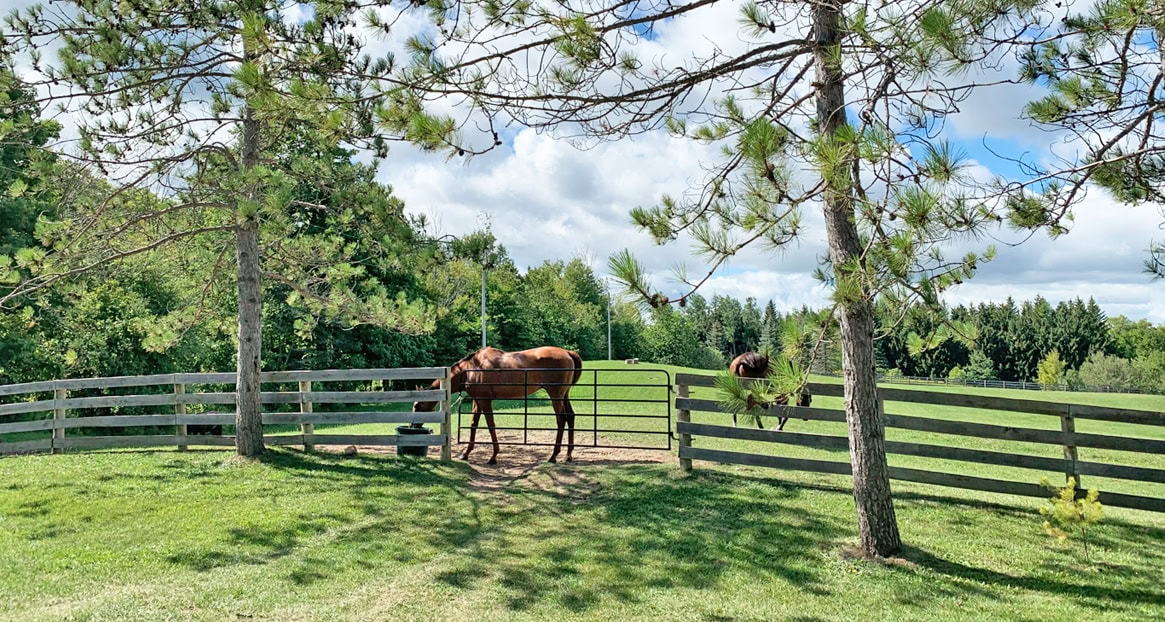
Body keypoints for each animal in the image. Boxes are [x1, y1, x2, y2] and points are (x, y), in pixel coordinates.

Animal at [414, 346, 583, 464]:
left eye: (417, 406)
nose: (414, 426)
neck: (469, 370)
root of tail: (568, 352)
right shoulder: (477, 401)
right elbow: (473, 424)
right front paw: (466, 453)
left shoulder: (485, 401)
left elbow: (491, 425)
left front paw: (493, 456)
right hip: (564, 395)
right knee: (570, 417)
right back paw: (568, 455)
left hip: (556, 396)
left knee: (561, 419)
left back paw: (554, 455)